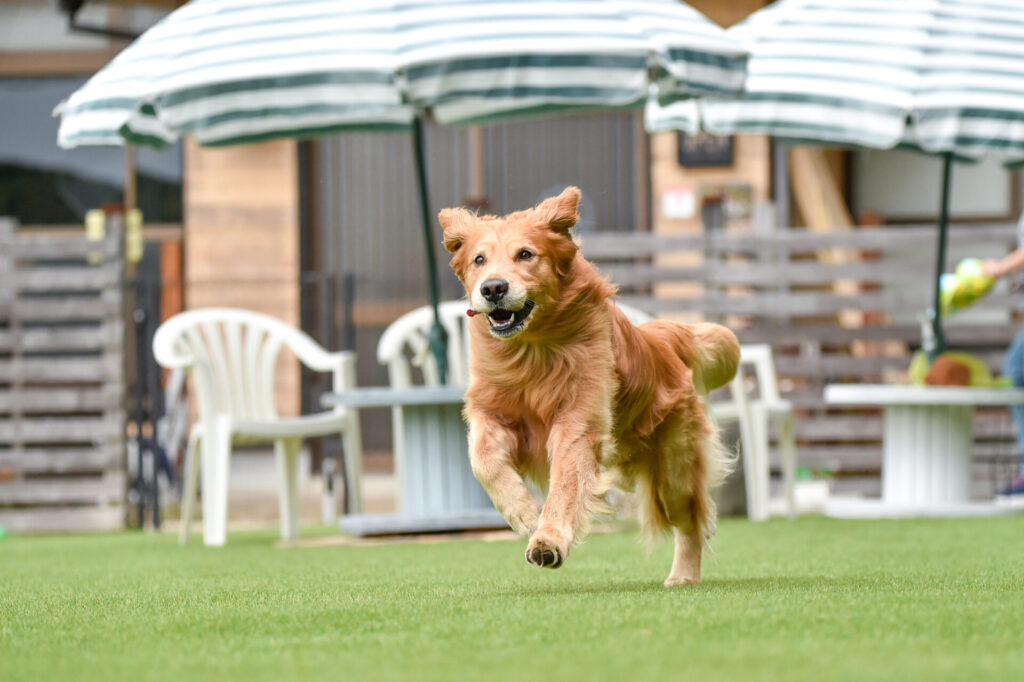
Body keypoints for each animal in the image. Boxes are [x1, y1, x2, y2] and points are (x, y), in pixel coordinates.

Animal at [438, 186, 737, 585]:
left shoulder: (577, 422)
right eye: (479, 259)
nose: (493, 288)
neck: (532, 350)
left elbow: (565, 484)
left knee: (689, 521)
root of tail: (659, 340)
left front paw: (547, 539)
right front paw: (525, 514)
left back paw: (683, 576)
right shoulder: (492, 411)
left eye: (526, 254)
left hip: (672, 470)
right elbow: (483, 461)